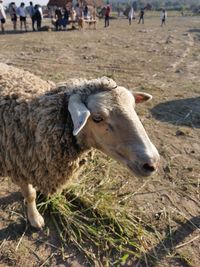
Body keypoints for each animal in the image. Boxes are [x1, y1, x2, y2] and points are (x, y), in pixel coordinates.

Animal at [0, 62, 159, 228]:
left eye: (134, 108)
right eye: (97, 118)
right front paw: (35, 218)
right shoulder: (17, 167)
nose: (151, 162)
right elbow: (30, 195)